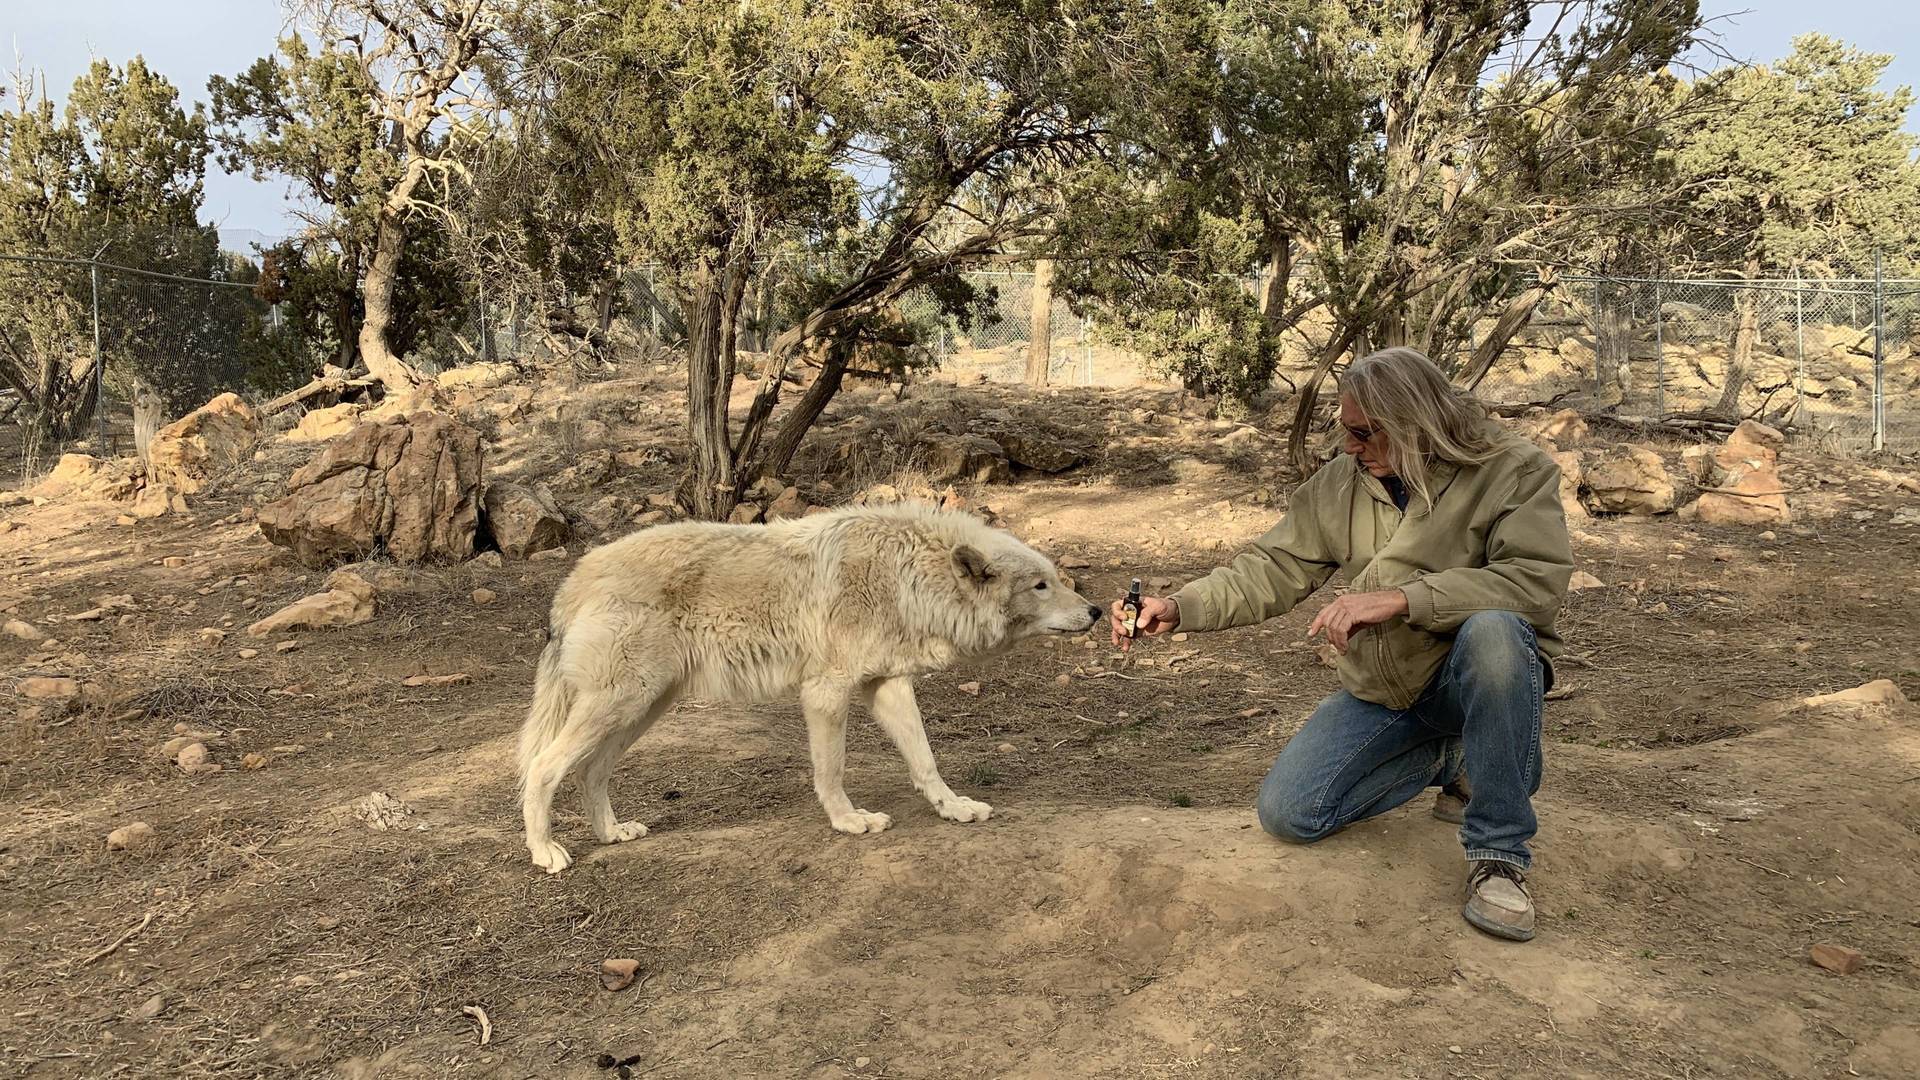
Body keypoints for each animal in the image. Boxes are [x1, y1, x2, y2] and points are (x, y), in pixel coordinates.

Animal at [518, 503, 1105, 864]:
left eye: (1056, 579)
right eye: (1041, 585)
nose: (1098, 611)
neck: (908, 577)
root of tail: (572, 580)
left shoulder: (887, 685)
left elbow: (925, 760)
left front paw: (953, 808)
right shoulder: (826, 690)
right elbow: (831, 769)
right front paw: (848, 821)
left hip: (644, 707)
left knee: (590, 770)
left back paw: (611, 833)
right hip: (623, 703)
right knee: (544, 766)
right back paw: (545, 852)